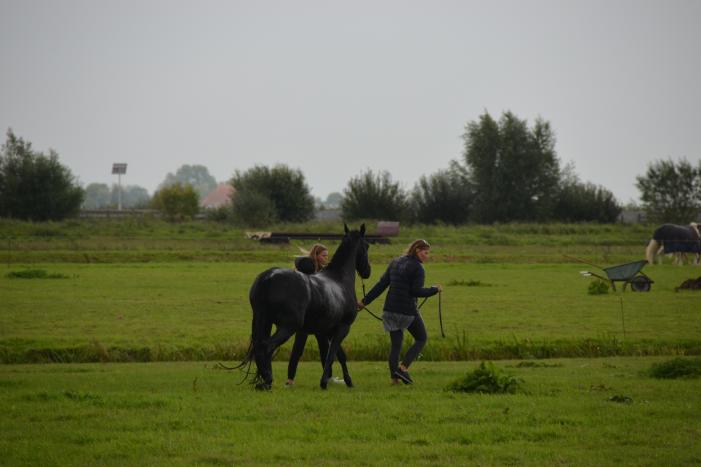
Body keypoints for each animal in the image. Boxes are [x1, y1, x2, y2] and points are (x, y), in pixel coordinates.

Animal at [237, 224, 371, 390]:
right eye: (367, 245)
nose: (367, 271)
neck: (339, 280)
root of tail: (268, 276)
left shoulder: (328, 330)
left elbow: (339, 355)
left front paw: (348, 381)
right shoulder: (343, 327)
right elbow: (332, 355)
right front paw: (324, 382)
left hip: (264, 321)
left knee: (259, 347)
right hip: (288, 327)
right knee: (267, 347)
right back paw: (267, 380)